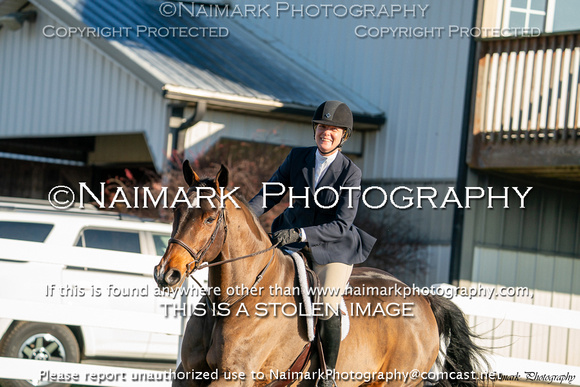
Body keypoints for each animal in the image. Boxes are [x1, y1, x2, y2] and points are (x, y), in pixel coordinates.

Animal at [154, 162, 484, 386]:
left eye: (210, 218)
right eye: (176, 211)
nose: (166, 274)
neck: (235, 298)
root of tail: (423, 298)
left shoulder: (234, 377)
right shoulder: (188, 373)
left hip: (394, 381)